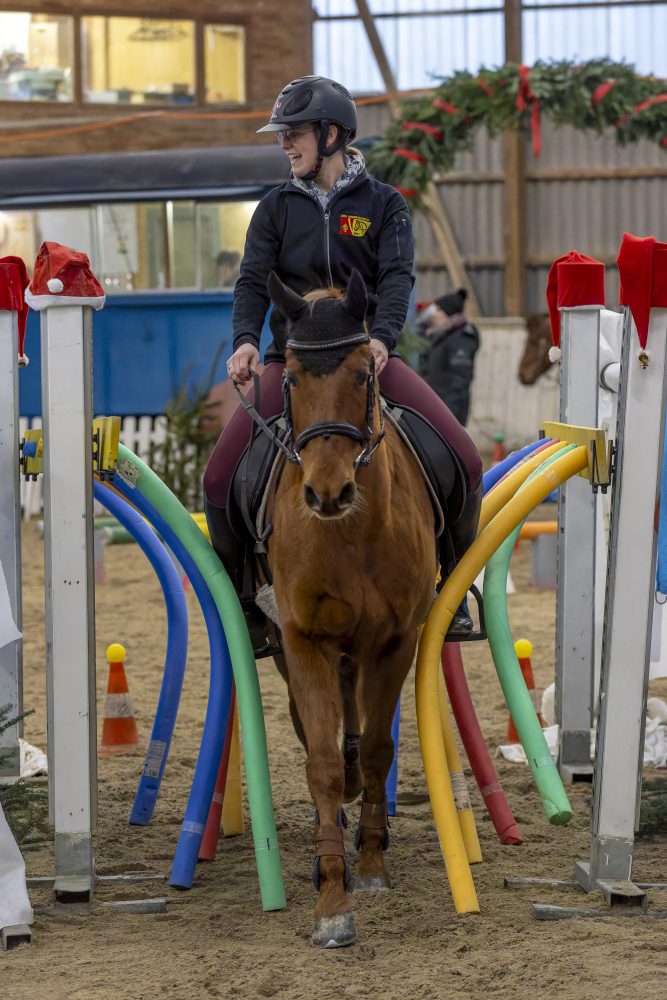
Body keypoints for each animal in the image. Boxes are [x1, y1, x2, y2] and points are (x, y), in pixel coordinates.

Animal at [266, 272, 438, 944]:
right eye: (290, 377)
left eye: (365, 373)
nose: (327, 491)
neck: (349, 531)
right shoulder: (304, 641)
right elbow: (322, 764)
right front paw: (331, 901)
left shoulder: (394, 643)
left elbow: (380, 751)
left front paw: (369, 867)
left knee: (362, 744)